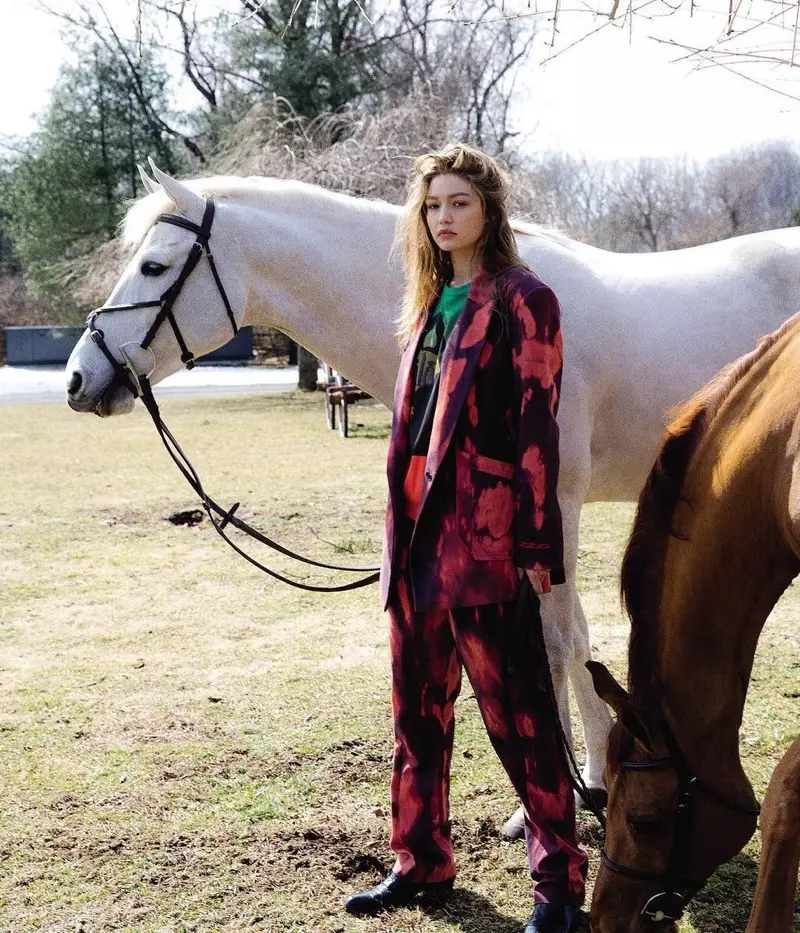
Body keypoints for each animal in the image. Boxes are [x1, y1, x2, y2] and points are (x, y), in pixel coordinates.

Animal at [64, 164, 800, 820]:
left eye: (154, 266)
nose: (78, 376)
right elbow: (564, 642)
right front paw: (574, 783)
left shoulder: (553, 508)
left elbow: (557, 643)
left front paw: (559, 797)